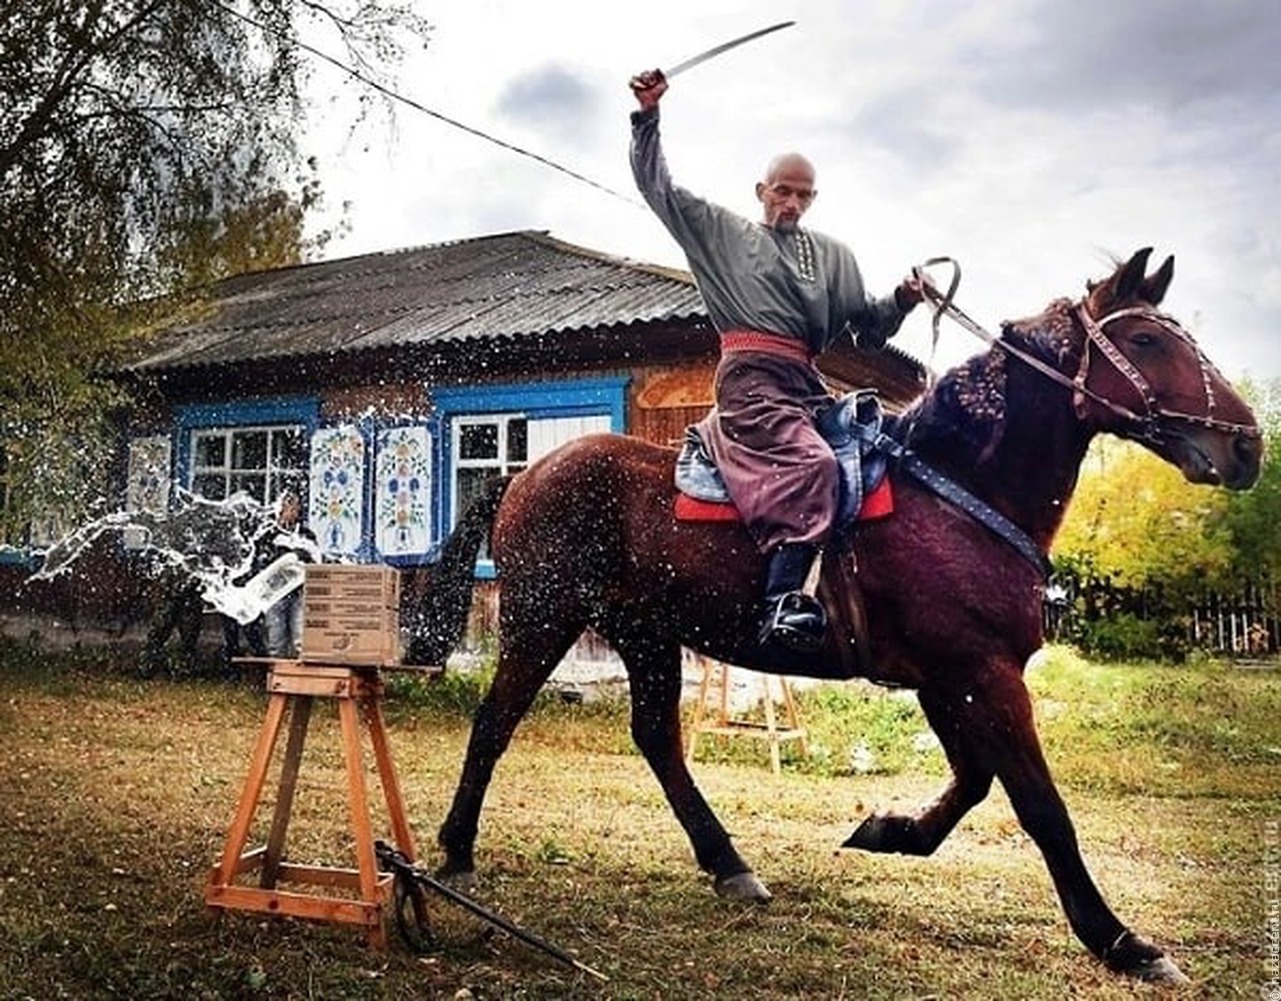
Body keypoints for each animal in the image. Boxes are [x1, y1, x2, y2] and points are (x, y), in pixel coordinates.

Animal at [407, 246, 1260, 979]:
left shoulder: (947, 679)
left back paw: (729, 864)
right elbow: (1039, 806)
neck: (956, 489)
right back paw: (456, 848)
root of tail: (523, 475)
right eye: (1146, 339)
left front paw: (888, 830)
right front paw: (1121, 941)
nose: (1247, 447)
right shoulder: (979, 674)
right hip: (542, 622)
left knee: (656, 739)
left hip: (646, 638)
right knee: (495, 721)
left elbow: (975, 781)